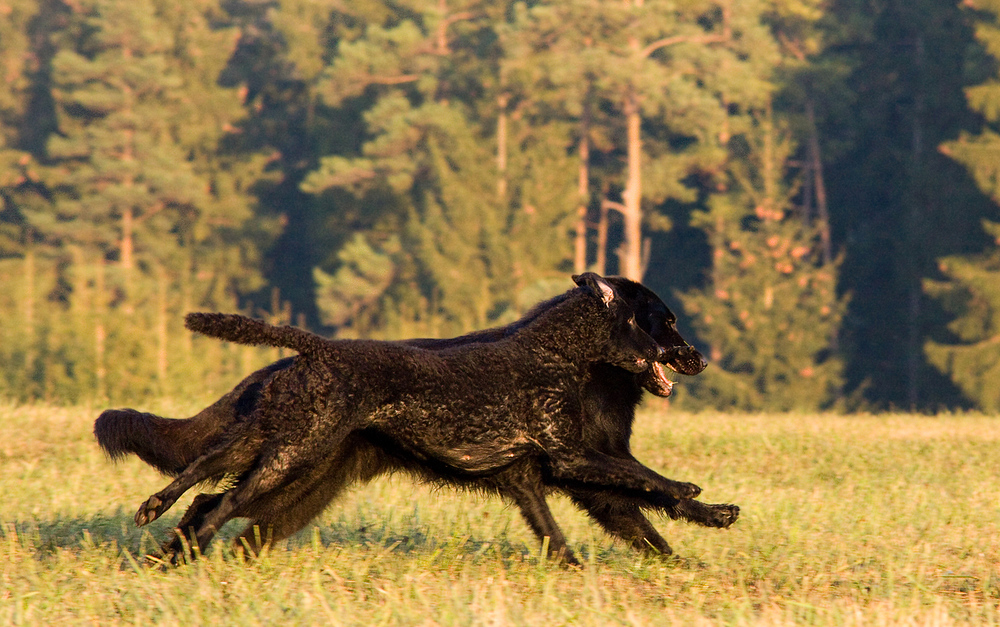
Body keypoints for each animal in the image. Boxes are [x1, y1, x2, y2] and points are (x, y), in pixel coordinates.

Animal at [97, 274, 736, 564]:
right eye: (663, 322)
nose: (701, 358)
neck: (555, 353)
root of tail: (313, 348)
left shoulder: (543, 475)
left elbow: (598, 520)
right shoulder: (571, 456)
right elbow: (647, 480)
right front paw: (692, 492)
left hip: (278, 453)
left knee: (204, 486)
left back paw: (163, 533)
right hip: (290, 455)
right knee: (218, 499)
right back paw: (178, 540)